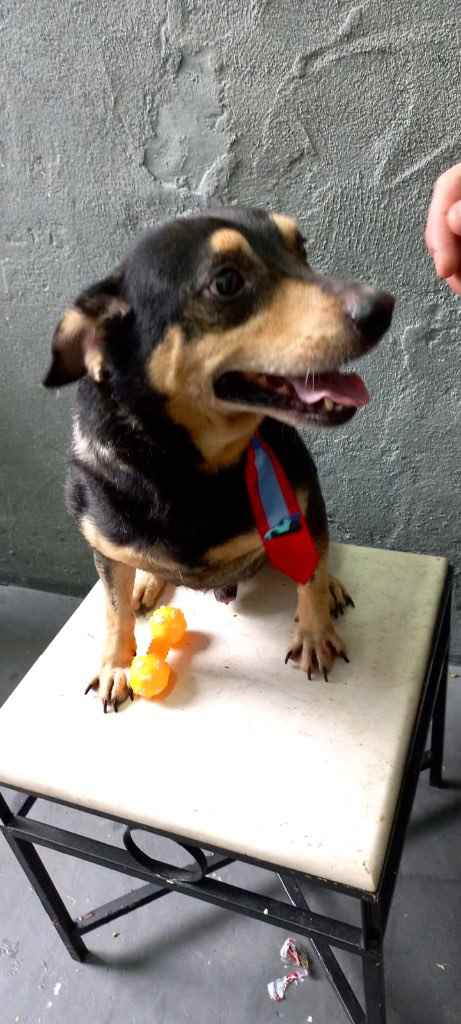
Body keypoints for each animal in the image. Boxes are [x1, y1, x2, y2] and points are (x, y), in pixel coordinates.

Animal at [44, 207, 394, 711]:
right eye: (226, 282)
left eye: (300, 249)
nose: (383, 306)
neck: (187, 470)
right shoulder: (104, 548)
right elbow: (113, 610)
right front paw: (115, 664)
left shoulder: (304, 499)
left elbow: (311, 572)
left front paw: (314, 632)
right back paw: (146, 583)